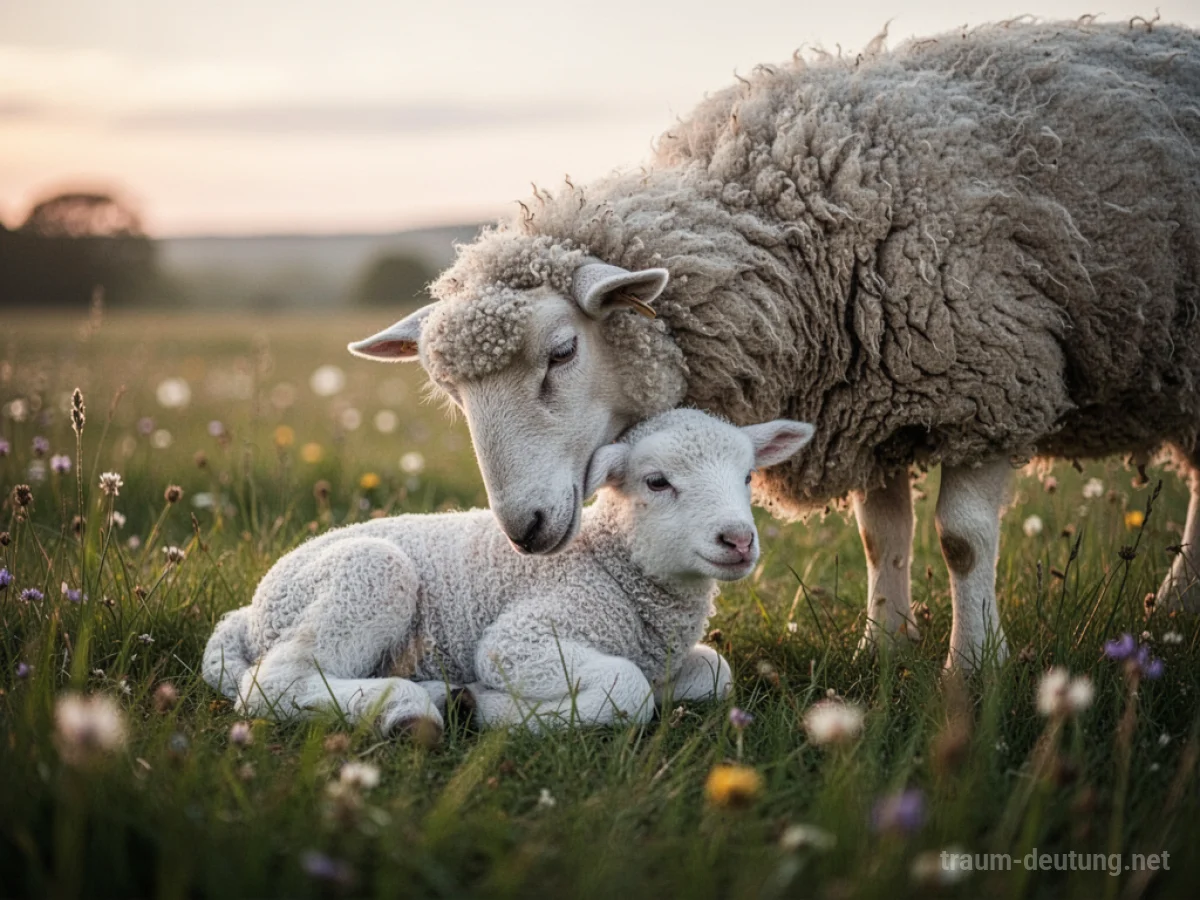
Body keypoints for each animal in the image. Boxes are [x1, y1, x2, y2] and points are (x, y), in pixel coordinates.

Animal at [202, 411, 813, 734]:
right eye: (656, 481)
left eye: (749, 476)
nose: (738, 539)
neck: (609, 564)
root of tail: (249, 613)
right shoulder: (521, 640)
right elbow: (628, 690)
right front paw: (498, 708)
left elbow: (716, 673)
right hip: (366, 578)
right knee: (272, 685)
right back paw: (406, 706)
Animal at [348, 21, 1200, 670]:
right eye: (452, 392)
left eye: (561, 352)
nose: (522, 530)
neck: (795, 217)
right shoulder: (873, 406)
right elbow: (880, 538)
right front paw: (882, 649)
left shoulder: (994, 386)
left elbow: (960, 541)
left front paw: (973, 666)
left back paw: (1172, 607)